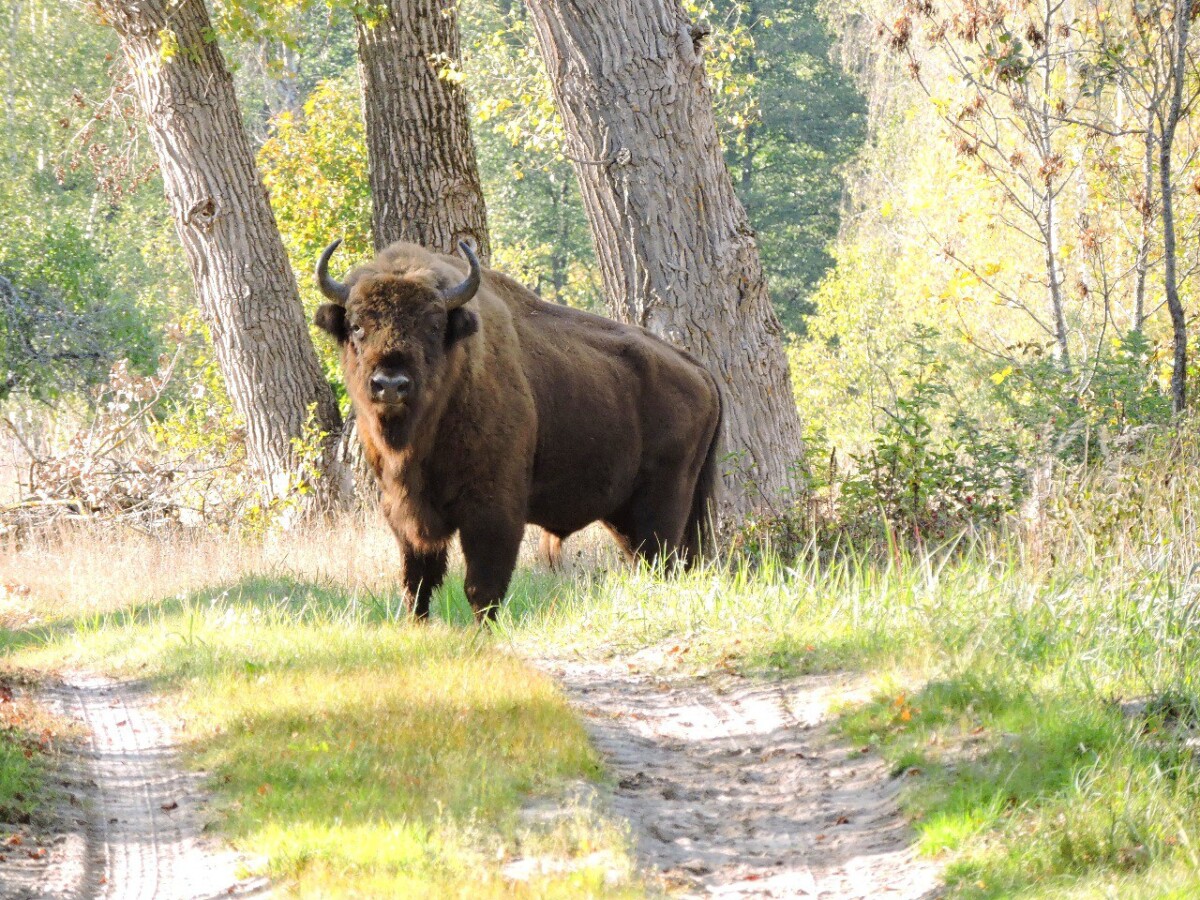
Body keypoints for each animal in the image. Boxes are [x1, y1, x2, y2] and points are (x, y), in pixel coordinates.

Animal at [314, 237, 715, 619]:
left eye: (433, 325)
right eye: (356, 325)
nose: (391, 384)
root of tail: (699, 371)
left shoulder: (493, 510)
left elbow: (482, 587)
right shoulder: (403, 512)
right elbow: (417, 585)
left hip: (662, 506)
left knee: (662, 561)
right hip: (626, 514)